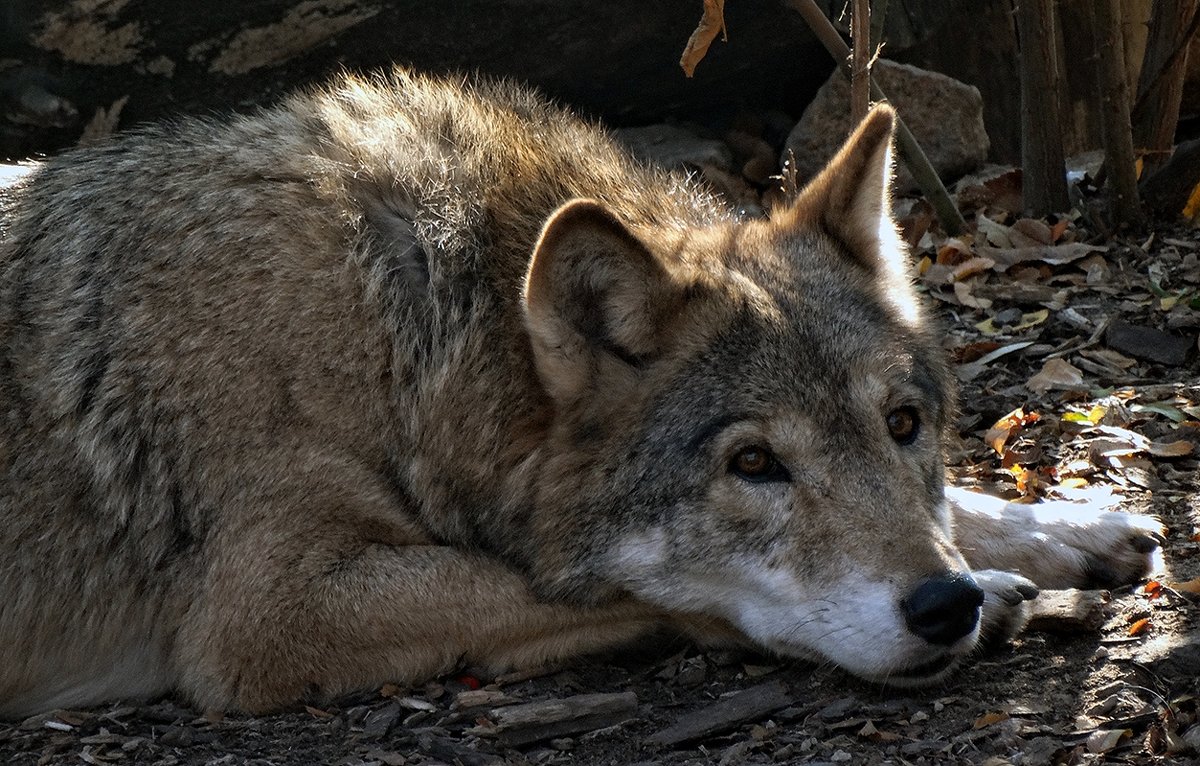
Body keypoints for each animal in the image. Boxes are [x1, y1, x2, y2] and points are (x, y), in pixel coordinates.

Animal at [0, 67, 1161, 720]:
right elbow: (606, 589)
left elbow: (957, 504)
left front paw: (1067, 528)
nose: (942, 605)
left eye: (904, 424)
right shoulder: (265, 617)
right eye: (752, 463)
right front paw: (1004, 590)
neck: (396, 352)